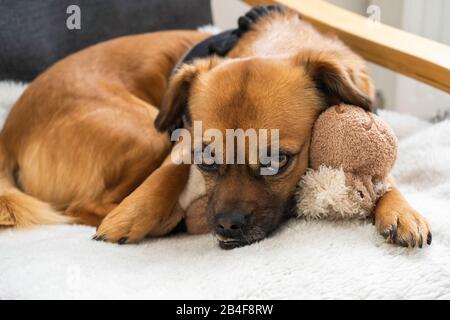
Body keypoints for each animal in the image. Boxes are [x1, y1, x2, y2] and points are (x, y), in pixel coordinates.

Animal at [0, 6, 430, 248]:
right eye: (205, 159)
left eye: (276, 160)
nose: (226, 225)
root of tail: (9, 133)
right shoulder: (181, 140)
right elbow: (169, 171)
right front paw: (133, 214)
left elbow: (384, 178)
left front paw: (401, 211)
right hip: (145, 133)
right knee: (82, 206)